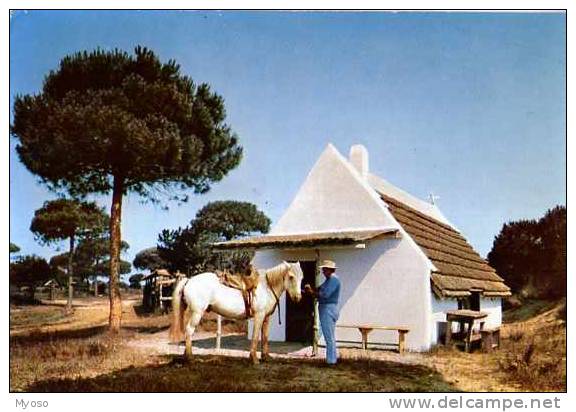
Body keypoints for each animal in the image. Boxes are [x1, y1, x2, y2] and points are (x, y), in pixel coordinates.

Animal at [169, 260, 304, 364]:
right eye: (291, 276)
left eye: (301, 277)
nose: (298, 297)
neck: (267, 287)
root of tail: (189, 280)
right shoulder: (259, 316)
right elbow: (256, 336)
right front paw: (254, 359)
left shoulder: (266, 317)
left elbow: (265, 337)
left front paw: (266, 357)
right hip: (197, 313)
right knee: (189, 331)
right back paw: (190, 358)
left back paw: (186, 355)